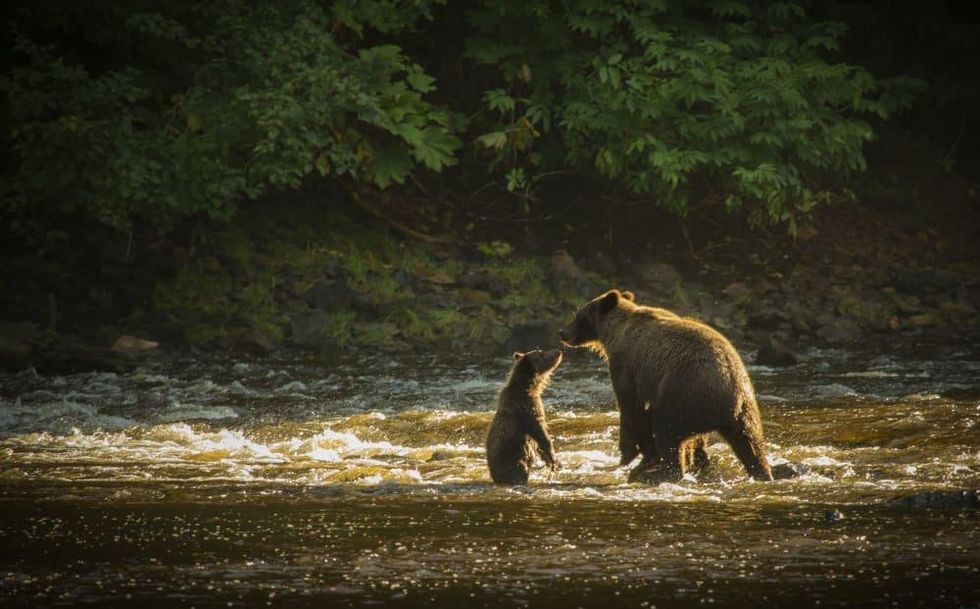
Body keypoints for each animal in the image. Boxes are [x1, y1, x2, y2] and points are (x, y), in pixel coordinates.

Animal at [486, 349, 563, 485]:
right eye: (541, 353)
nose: (558, 351)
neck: (530, 386)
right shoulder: (526, 407)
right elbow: (540, 432)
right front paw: (554, 461)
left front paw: (551, 461)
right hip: (514, 458)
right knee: (520, 471)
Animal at [559, 289, 773, 482]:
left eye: (579, 316)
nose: (562, 332)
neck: (614, 333)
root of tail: (728, 398)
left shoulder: (626, 366)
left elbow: (630, 408)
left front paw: (628, 455)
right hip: (744, 411)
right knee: (751, 443)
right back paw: (762, 472)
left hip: (683, 393)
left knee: (665, 428)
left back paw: (657, 473)